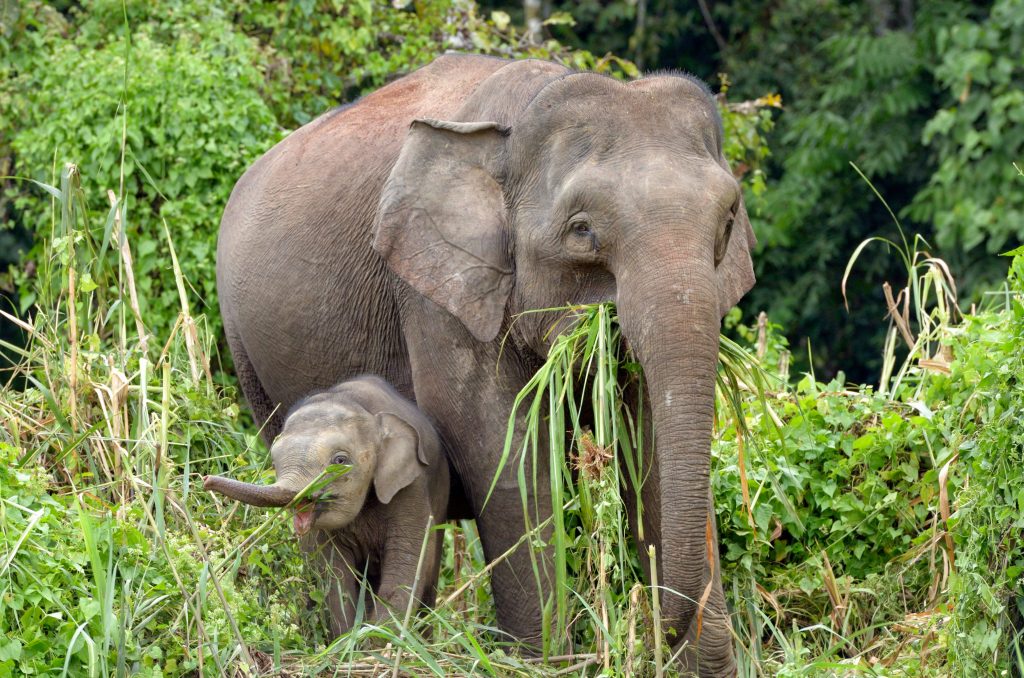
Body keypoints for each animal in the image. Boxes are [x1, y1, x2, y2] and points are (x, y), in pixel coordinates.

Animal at [203, 376, 448, 639]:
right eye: (274, 462)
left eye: (340, 461)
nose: (205, 480)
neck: (360, 406)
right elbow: (333, 574)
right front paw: (346, 640)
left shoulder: (411, 488)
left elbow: (404, 566)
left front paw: (376, 641)